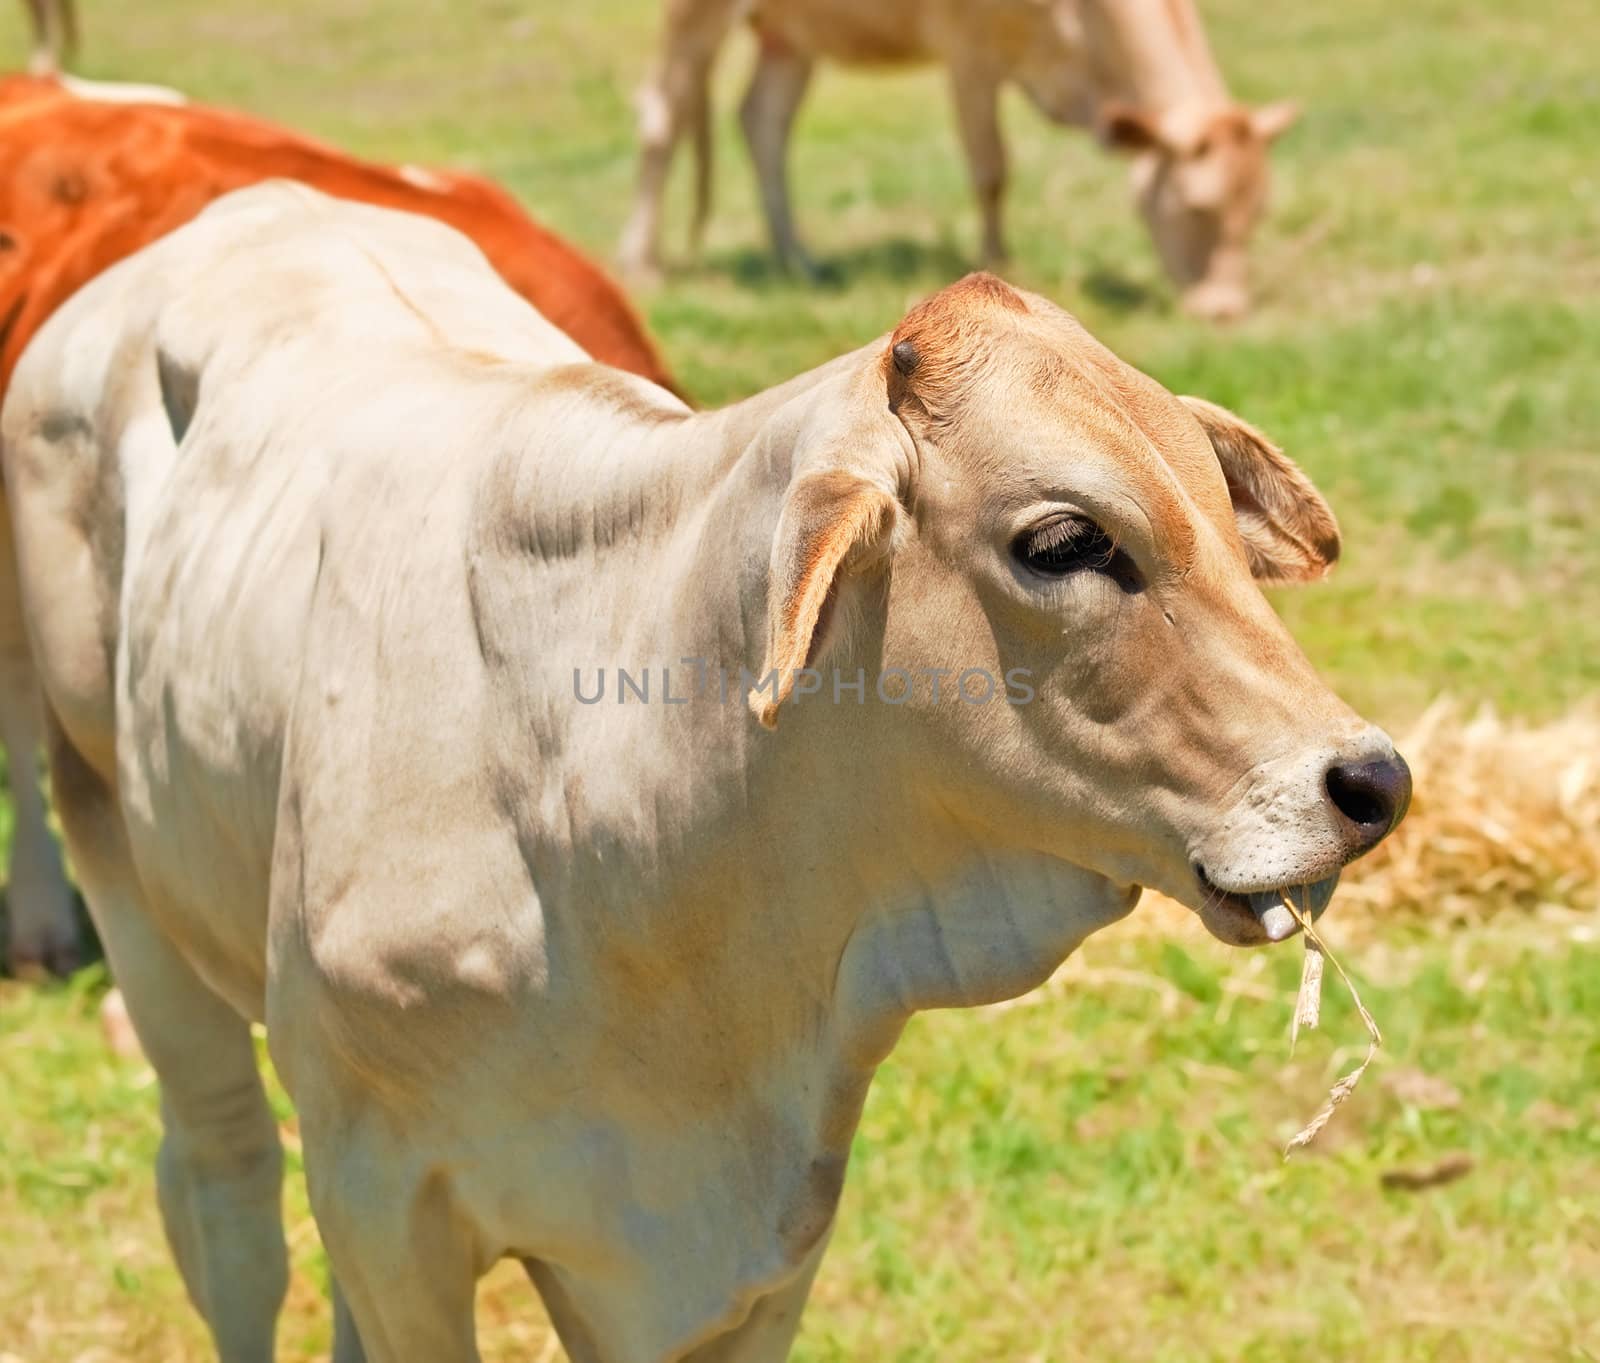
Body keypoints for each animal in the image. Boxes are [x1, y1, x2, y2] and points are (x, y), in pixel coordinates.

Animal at [0, 183, 1408, 1363]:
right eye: (1064, 540)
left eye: (1217, 514)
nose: (1371, 783)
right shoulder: (389, 1198)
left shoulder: (756, 1247)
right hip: (128, 881)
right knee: (225, 1195)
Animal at [617, 0, 1292, 318]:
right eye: (1196, 207)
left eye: (1257, 213)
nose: (1225, 310)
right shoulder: (968, 53)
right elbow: (992, 169)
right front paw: (999, 264)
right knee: (662, 113)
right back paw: (641, 263)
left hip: (789, 33)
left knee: (764, 121)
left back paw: (797, 259)